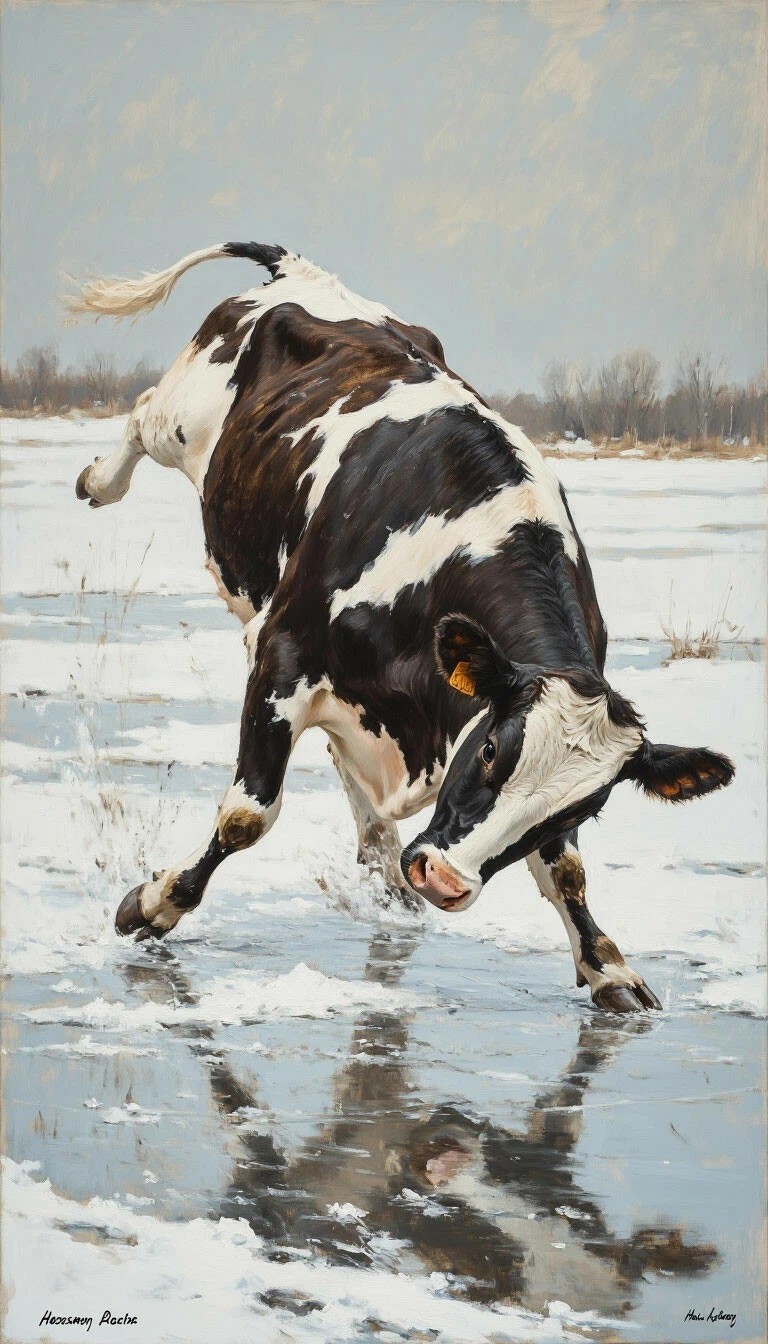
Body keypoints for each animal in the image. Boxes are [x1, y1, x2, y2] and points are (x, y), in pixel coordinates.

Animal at [68, 241, 734, 1013]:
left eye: (582, 810)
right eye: (491, 750)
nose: (444, 880)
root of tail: (300, 272)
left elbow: (565, 873)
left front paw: (609, 968)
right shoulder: (281, 655)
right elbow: (247, 814)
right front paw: (152, 905)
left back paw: (384, 858)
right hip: (184, 418)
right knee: (142, 413)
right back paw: (98, 479)